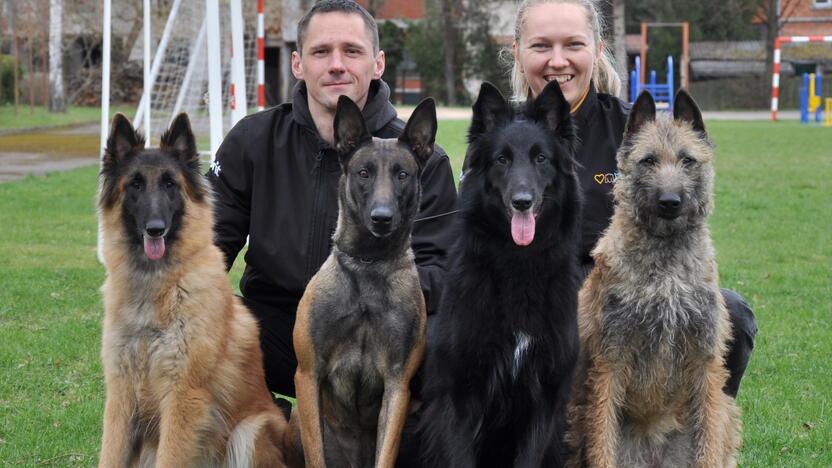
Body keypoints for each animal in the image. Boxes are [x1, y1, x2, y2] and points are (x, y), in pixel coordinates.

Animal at [96, 113, 286, 468]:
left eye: (170, 184)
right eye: (135, 185)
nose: (155, 229)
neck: (157, 286)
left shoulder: (183, 396)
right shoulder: (121, 396)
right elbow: (109, 456)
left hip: (249, 431)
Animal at [420, 82, 580, 466]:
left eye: (541, 158)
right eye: (502, 160)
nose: (522, 201)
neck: (517, 263)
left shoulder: (544, 402)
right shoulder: (459, 396)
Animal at [568, 89, 744, 466]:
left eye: (688, 160)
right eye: (648, 160)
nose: (669, 202)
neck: (665, 272)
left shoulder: (706, 363)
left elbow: (708, 444)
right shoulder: (609, 361)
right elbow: (602, 442)